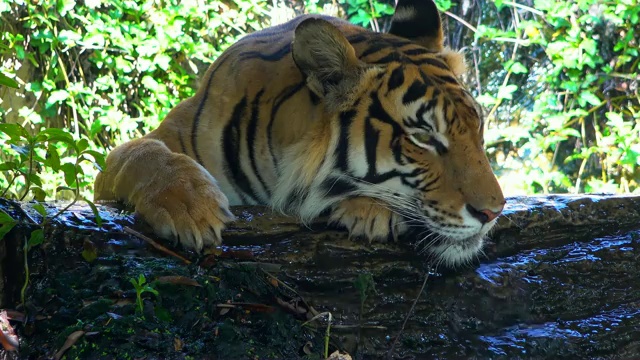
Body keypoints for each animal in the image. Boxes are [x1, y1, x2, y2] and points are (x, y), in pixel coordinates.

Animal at [95, 0, 504, 266]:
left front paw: (370, 210)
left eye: (479, 128)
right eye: (424, 137)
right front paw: (189, 207)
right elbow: (140, 154)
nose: (494, 212)